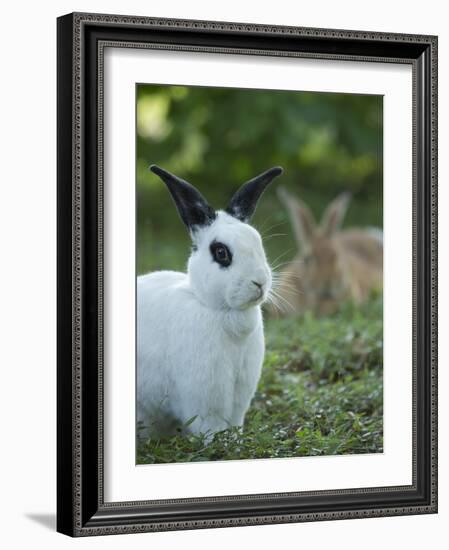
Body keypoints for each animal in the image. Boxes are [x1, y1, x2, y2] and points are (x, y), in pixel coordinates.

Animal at [137, 166, 284, 442]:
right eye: (221, 252)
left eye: (258, 243)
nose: (259, 282)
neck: (221, 311)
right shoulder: (204, 395)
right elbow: (210, 425)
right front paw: (220, 443)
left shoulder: (239, 395)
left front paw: (235, 439)